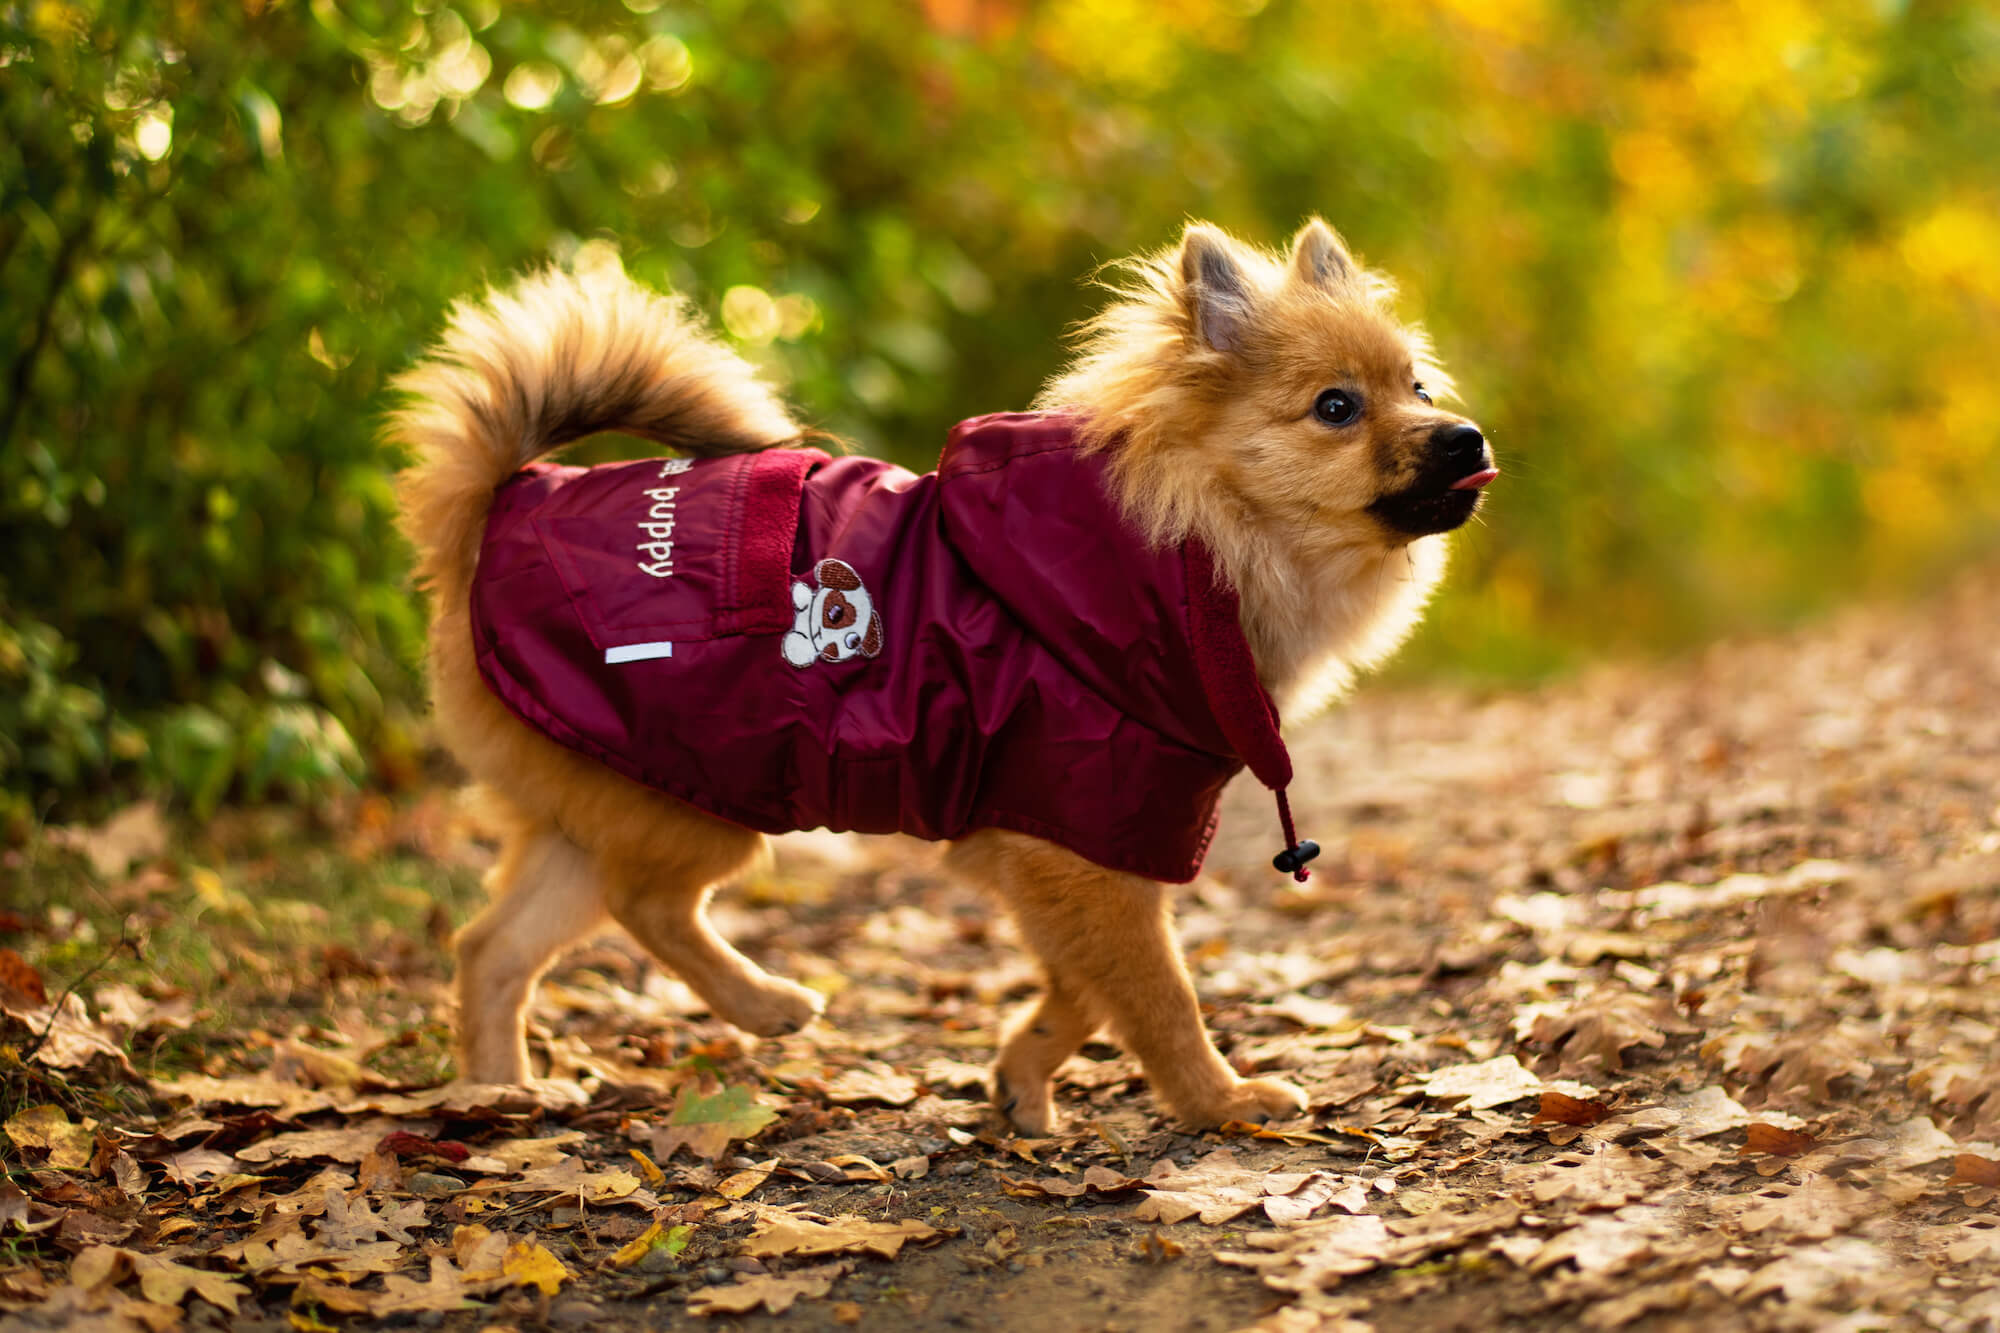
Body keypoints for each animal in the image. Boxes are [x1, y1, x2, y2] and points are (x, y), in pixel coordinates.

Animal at [390, 220, 1496, 1128]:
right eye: (1336, 407)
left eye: (1418, 390)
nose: (1466, 435)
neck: (1189, 542)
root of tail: (494, 510)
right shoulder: (1082, 835)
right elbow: (1156, 993)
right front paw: (1216, 1103)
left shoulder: (1045, 844)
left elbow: (1084, 990)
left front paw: (1022, 1073)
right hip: (699, 791)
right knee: (644, 905)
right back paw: (763, 1003)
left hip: (600, 805)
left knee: (493, 947)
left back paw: (498, 1095)